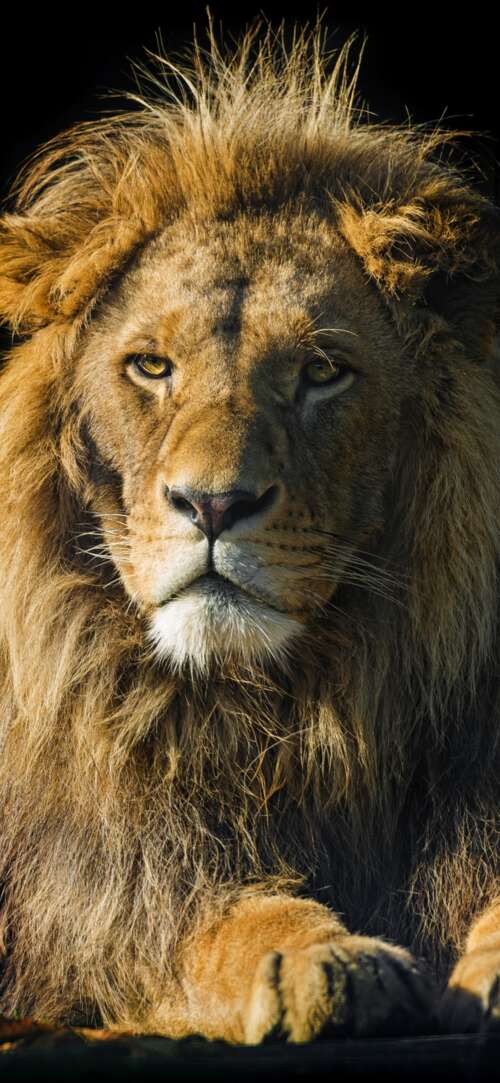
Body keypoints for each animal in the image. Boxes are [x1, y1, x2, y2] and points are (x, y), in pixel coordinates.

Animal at [0, 25, 498, 1044]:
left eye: (322, 371)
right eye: (152, 366)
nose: (213, 505)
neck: (286, 711)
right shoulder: (107, 900)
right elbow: (222, 922)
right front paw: (318, 961)